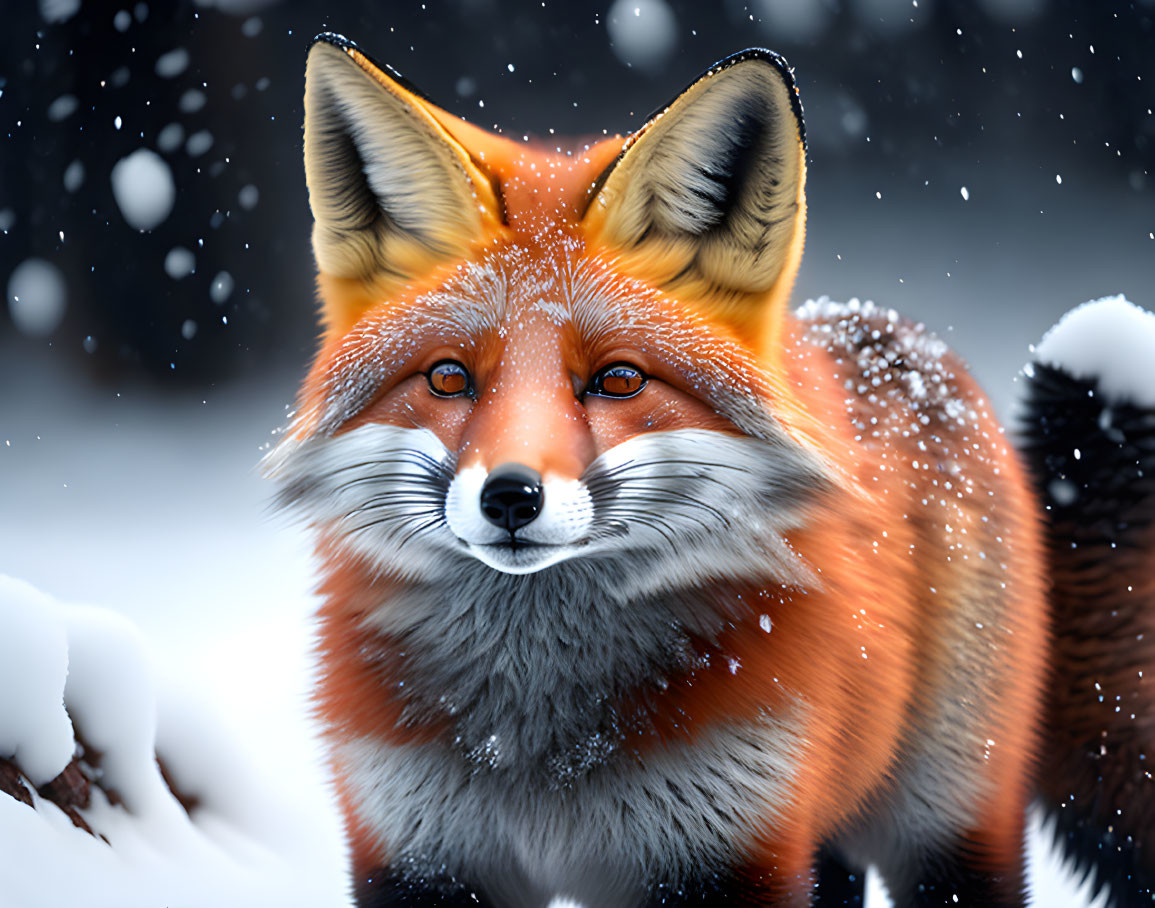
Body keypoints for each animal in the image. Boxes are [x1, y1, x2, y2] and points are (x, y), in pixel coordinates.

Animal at [272, 33, 1155, 905]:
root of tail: (892, 334)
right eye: (450, 378)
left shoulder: (733, 850)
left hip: (943, 826)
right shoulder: (418, 857)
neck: (537, 740)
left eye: (617, 380)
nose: (511, 498)